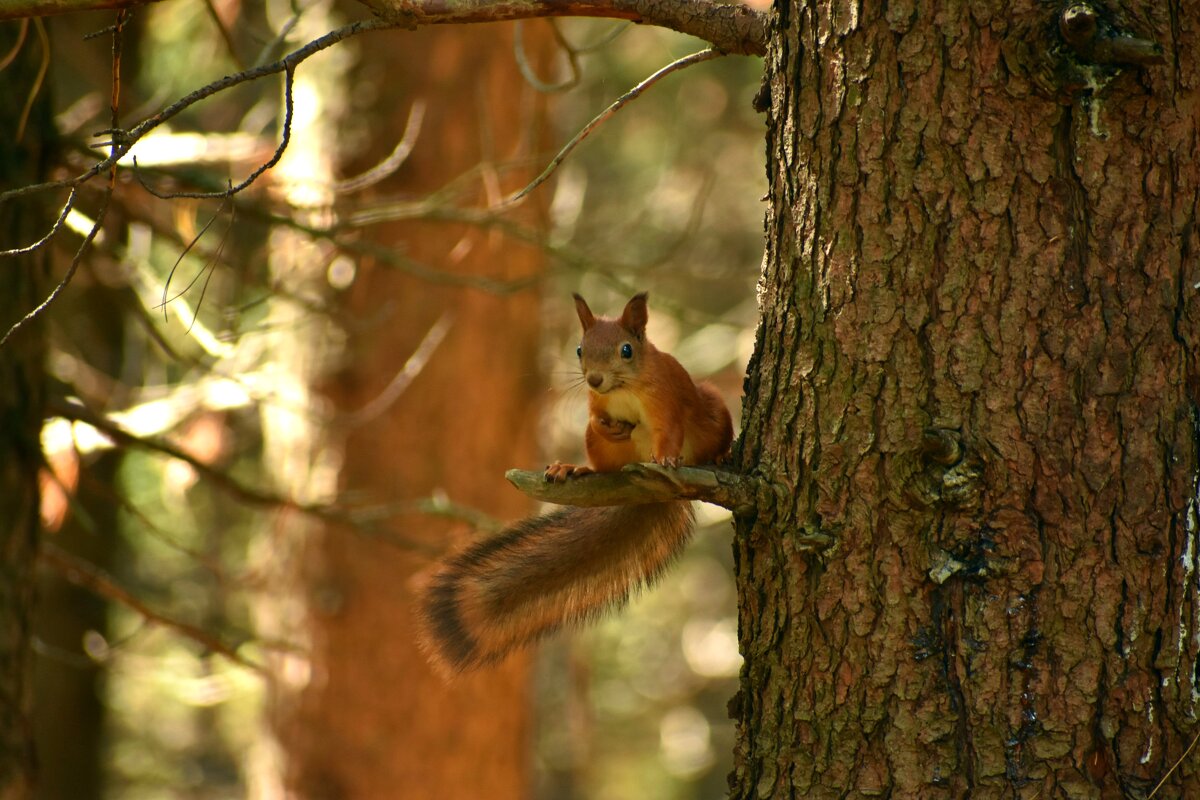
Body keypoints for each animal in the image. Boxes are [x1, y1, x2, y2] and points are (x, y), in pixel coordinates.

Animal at [417, 293, 734, 676]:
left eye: (626, 350)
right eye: (580, 349)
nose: (595, 379)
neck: (623, 389)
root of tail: (649, 489)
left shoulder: (668, 401)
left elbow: (669, 433)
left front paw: (667, 459)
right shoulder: (596, 406)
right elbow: (597, 421)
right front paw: (610, 429)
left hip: (713, 411)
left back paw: (717, 456)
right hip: (599, 449)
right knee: (602, 464)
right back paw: (574, 469)